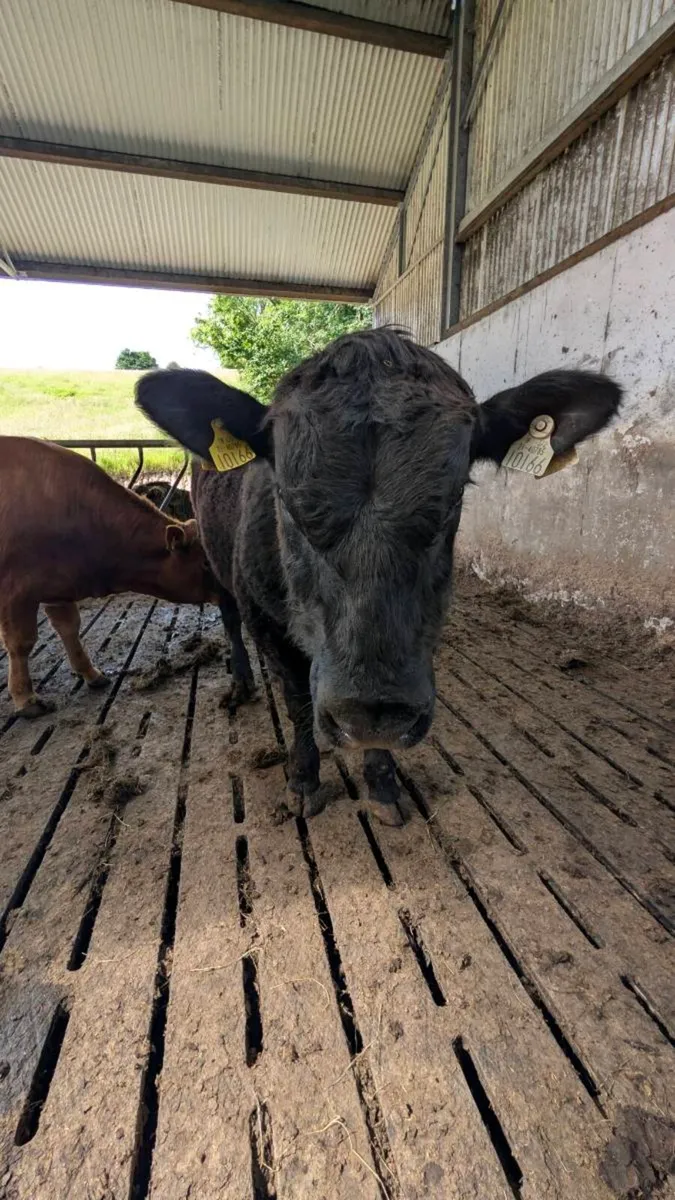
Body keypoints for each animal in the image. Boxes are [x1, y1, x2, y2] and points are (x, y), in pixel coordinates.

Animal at [0, 437, 218, 716]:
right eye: (205, 562)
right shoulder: (16, 592)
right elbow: (21, 643)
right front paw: (26, 699)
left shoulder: (58, 587)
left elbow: (70, 629)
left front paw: (92, 674)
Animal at [136, 327, 621, 823]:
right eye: (286, 498)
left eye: (454, 499)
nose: (367, 711)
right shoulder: (266, 621)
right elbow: (297, 702)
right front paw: (303, 782)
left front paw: (383, 785)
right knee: (229, 617)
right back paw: (241, 683)